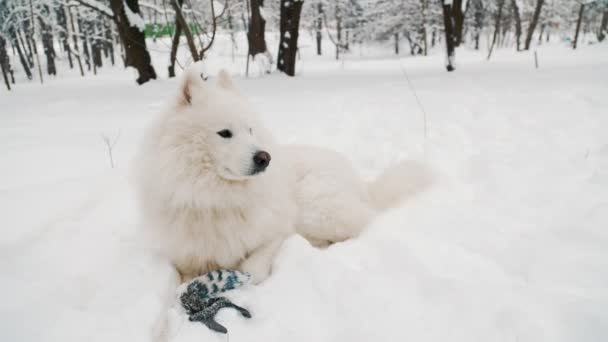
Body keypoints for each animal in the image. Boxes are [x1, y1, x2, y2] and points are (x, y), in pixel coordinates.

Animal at [136, 65, 434, 284]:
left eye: (250, 130)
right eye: (225, 133)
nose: (264, 157)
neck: (213, 197)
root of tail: (362, 185)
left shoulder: (278, 230)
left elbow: (253, 268)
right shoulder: (184, 256)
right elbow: (183, 277)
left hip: (313, 205)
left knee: (362, 224)